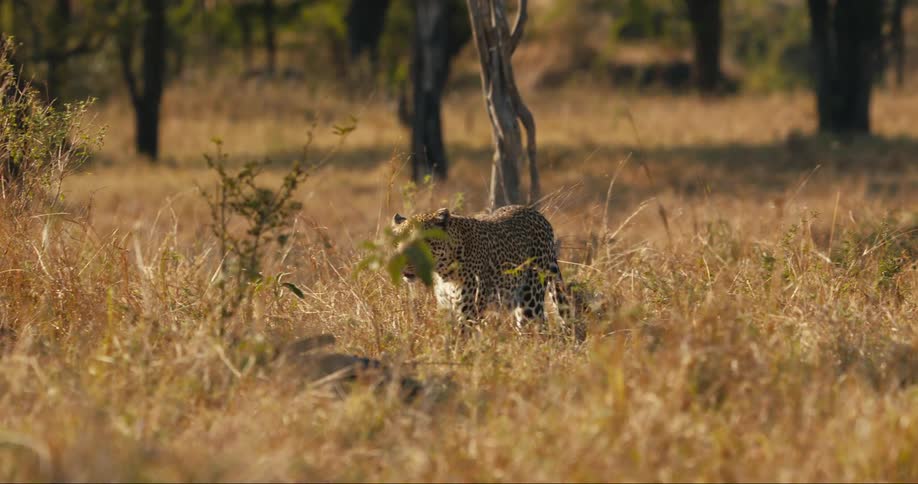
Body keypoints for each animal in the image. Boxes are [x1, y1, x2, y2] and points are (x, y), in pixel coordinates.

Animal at [391, 204, 570, 328]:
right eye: (398, 241)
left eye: (421, 241)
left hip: (530, 300)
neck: (443, 272)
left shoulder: (468, 311)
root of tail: (540, 216)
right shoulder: (446, 309)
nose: (401, 262)